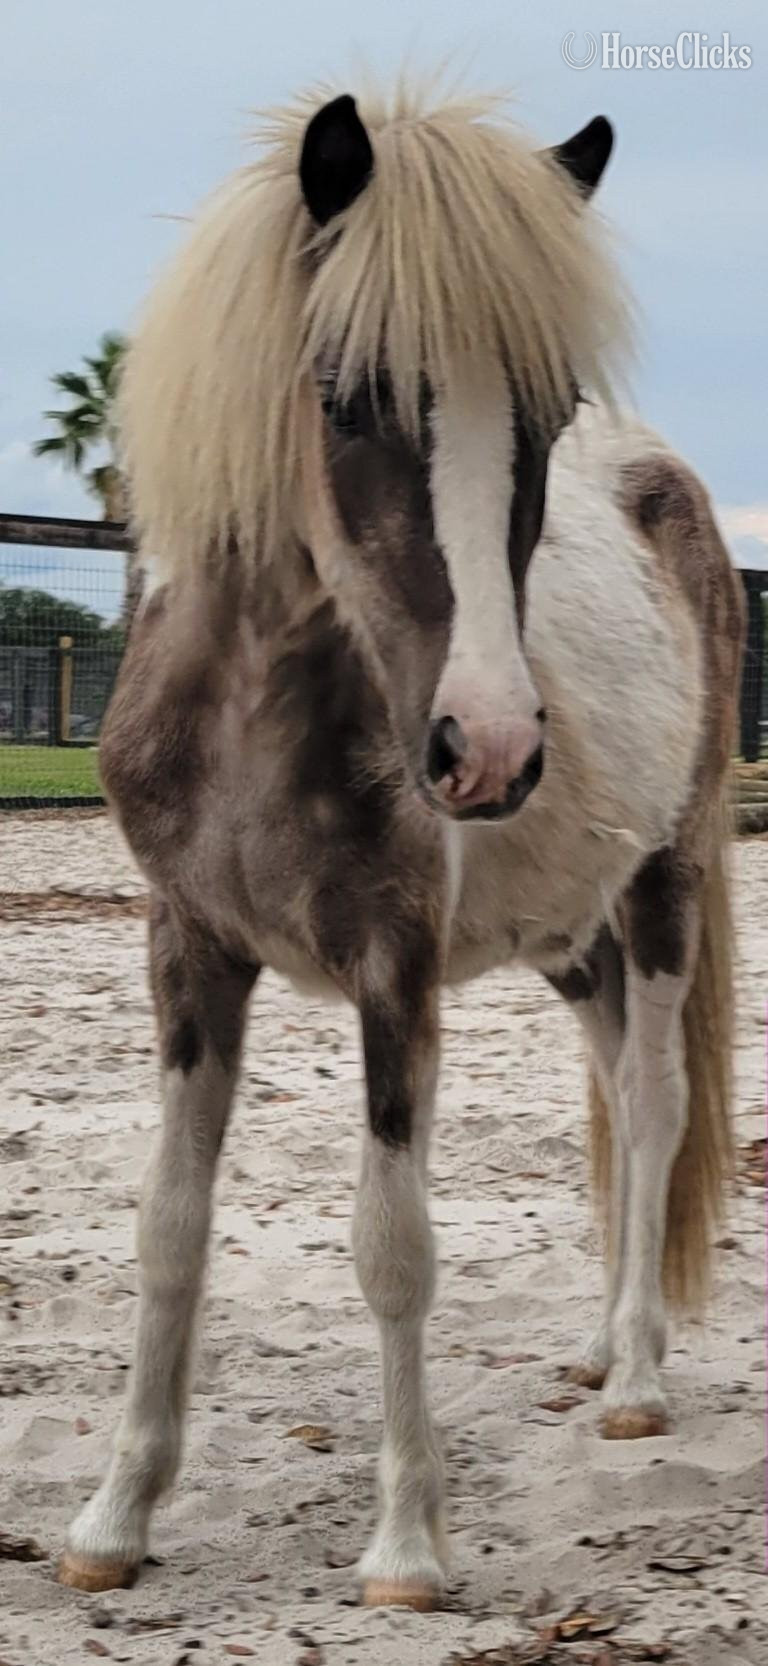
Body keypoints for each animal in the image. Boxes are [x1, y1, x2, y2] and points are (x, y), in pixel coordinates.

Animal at [58, 80, 744, 1611]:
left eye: (547, 410)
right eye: (348, 394)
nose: (486, 746)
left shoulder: (395, 965)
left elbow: (394, 1246)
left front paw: (408, 1546)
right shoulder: (187, 948)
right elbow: (166, 1227)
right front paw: (116, 1518)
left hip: (663, 886)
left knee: (655, 1103)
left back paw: (639, 1380)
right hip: (570, 934)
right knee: (611, 1077)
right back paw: (599, 1346)